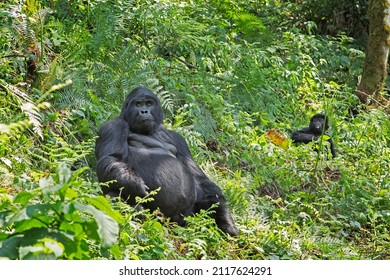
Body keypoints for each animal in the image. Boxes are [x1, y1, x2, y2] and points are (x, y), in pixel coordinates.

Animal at [96, 86, 239, 235]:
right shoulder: (113, 126)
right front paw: (135, 185)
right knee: (113, 192)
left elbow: (200, 178)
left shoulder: (178, 138)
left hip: (186, 217)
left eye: (149, 103)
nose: (144, 111)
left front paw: (225, 218)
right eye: (138, 104)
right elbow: (111, 159)